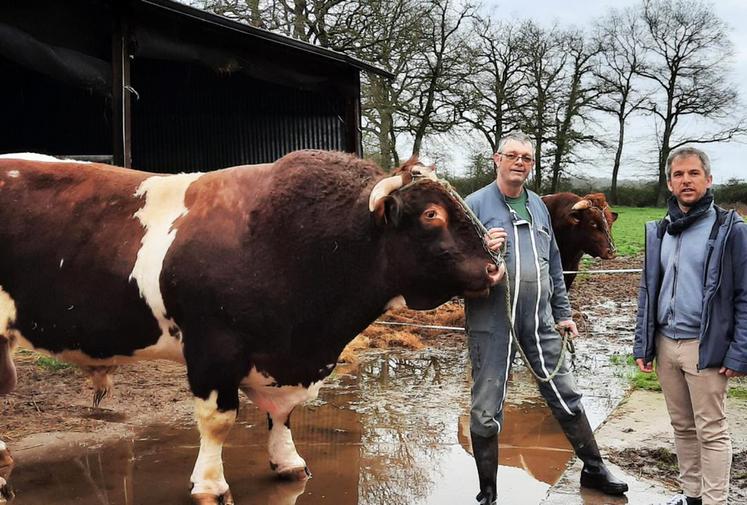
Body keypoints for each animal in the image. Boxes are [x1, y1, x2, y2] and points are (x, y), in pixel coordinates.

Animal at [0, 150, 506, 504]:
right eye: (432, 215)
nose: (495, 266)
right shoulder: (212, 346)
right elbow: (218, 419)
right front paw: (210, 484)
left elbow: (282, 414)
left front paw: (289, 463)